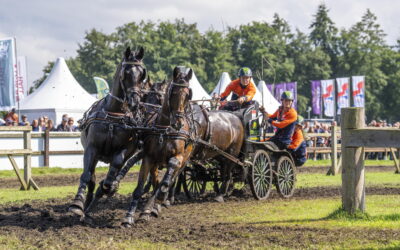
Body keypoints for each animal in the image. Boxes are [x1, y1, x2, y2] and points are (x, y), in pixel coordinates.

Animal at [69, 47, 148, 217]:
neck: (114, 115)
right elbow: (86, 176)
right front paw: (77, 204)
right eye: (126, 72)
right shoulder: (92, 148)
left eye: (142, 74)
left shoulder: (124, 150)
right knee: (91, 177)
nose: (135, 102)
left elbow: (115, 168)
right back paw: (86, 203)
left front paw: (108, 187)